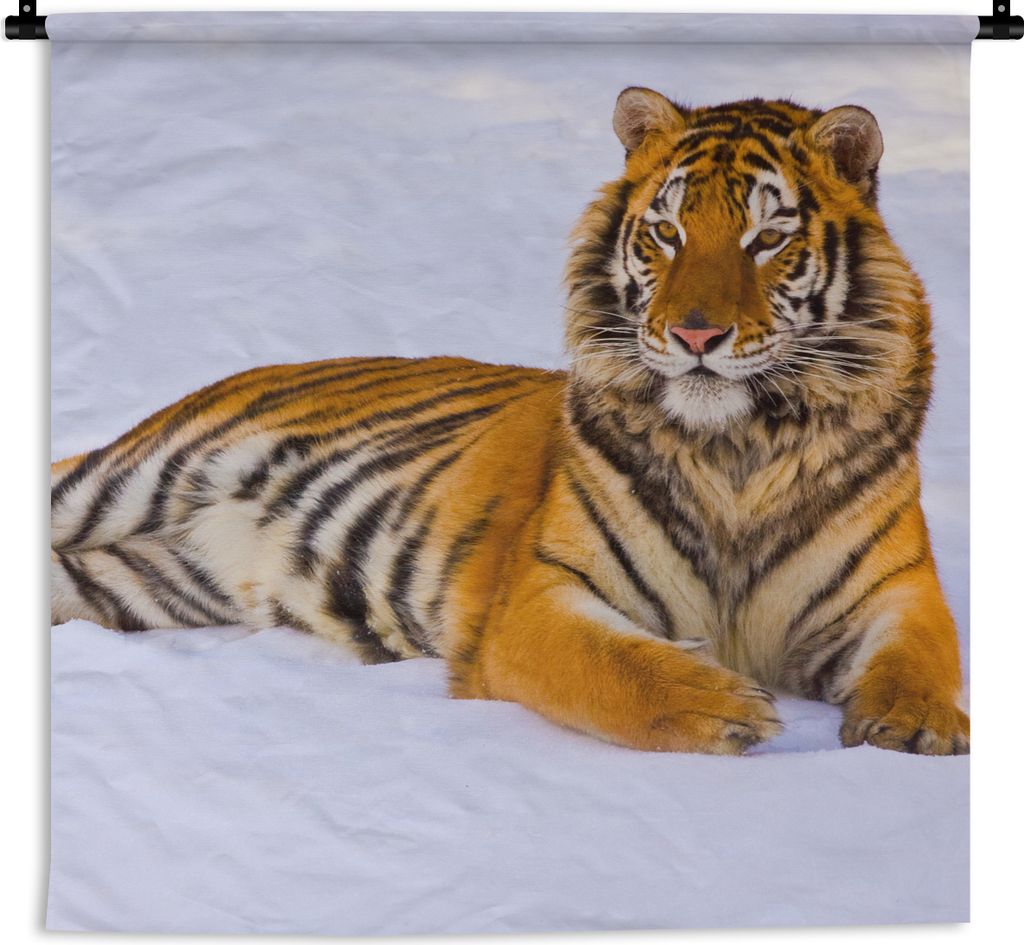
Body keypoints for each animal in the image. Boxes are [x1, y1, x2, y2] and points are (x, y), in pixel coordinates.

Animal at [51, 89, 969, 756]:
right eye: (667, 232)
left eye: (766, 238)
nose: (695, 335)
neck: (736, 445)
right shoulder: (542, 593)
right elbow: (616, 666)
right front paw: (724, 704)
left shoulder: (895, 588)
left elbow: (926, 656)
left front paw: (916, 724)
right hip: (126, 476)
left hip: (141, 581)